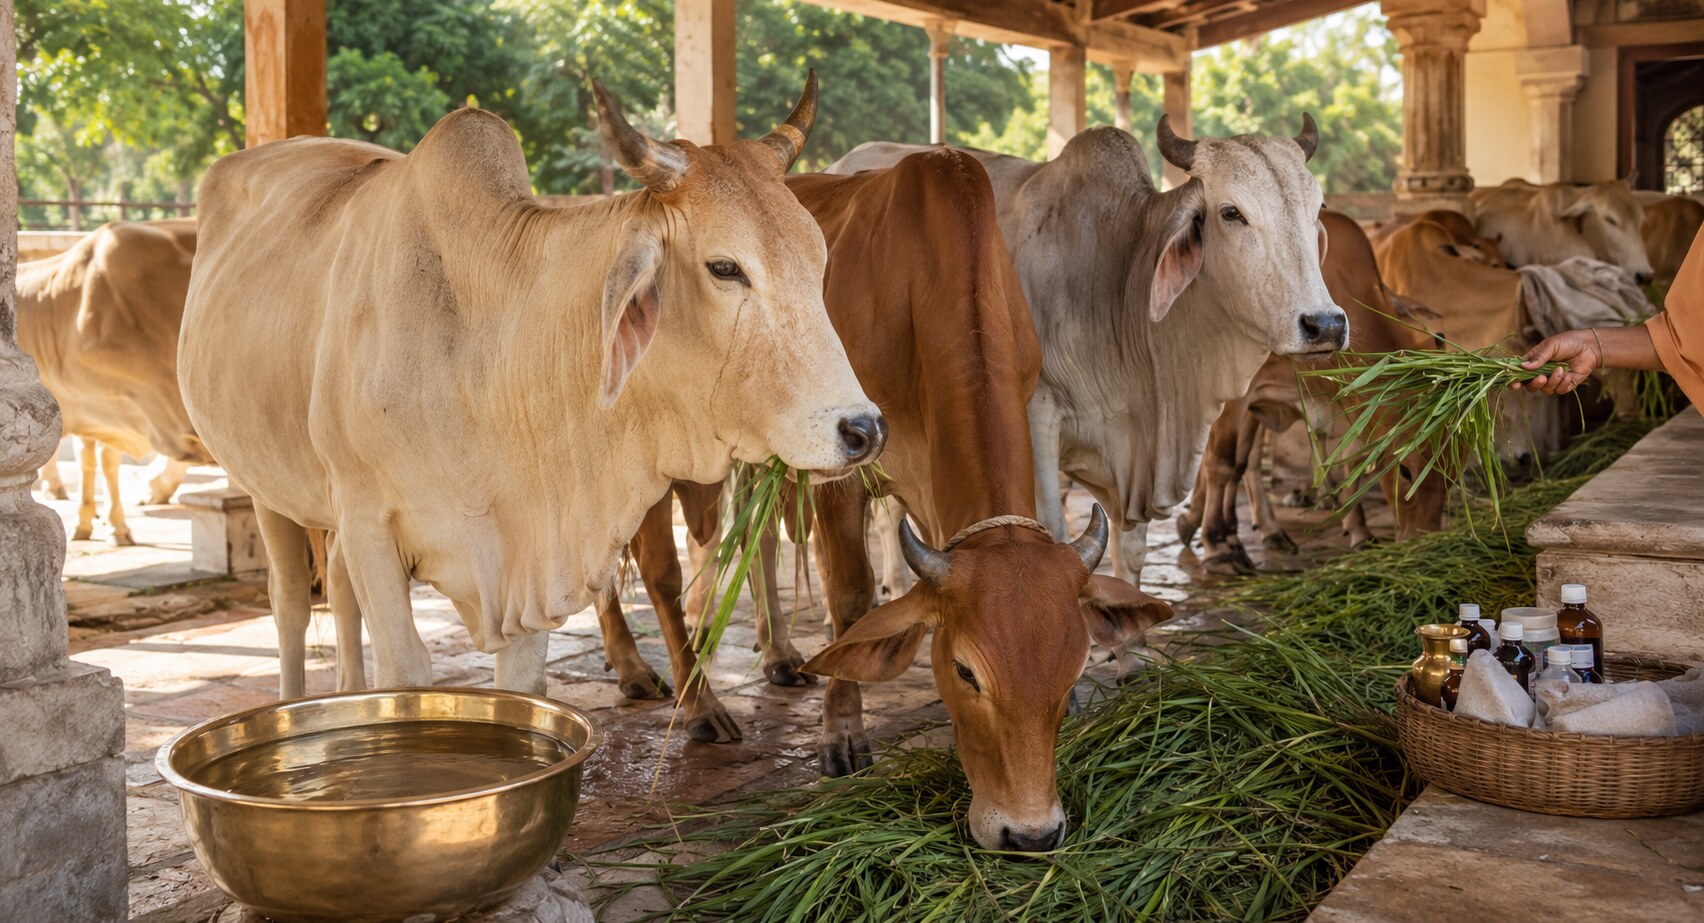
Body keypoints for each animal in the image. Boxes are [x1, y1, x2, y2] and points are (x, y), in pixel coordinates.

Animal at [178, 75, 884, 699]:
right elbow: (404, 673)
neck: (479, 356)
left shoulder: (532, 554)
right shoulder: (368, 520)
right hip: (267, 486)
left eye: (819, 258)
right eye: (725, 267)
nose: (863, 429)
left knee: (339, 593)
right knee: (291, 605)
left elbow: (520, 685)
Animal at [597, 150, 1169, 851]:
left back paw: (773, 657)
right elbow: (851, 598)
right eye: (966, 673)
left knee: (754, 545)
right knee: (657, 570)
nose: (1031, 834)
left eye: (1073, 670)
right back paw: (685, 696)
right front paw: (841, 735)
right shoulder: (843, 469)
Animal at [830, 118, 1349, 584]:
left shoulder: (1137, 456)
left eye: (1318, 208)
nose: (1324, 324)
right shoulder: (1036, 419)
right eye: (1231, 212)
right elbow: (1054, 532)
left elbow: (1131, 551)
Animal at [1179, 212, 1445, 570]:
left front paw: (1359, 531)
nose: (1424, 541)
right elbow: (1221, 463)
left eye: (1456, 470)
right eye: (1405, 470)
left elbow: (1347, 463)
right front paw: (1218, 546)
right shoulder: (1236, 395)